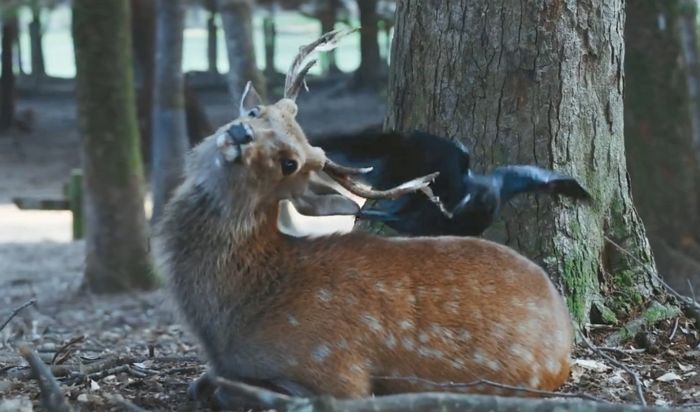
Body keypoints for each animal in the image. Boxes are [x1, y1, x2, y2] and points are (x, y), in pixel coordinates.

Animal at [150, 31, 572, 408]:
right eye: (256, 112)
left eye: (291, 164)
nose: (240, 132)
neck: (231, 322)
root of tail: (567, 338)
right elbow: (202, 382)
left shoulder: (333, 365)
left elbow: (233, 389)